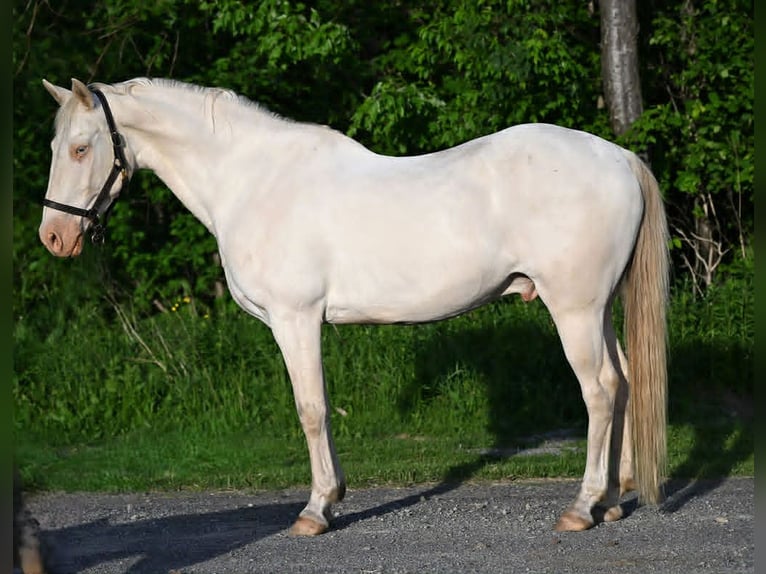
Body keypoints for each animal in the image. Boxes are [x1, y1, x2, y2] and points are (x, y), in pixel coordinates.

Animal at [38, 77, 668, 536]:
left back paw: (583, 507)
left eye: (81, 148)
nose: (55, 237)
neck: (252, 180)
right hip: (597, 309)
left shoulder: (295, 319)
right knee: (625, 381)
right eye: (54, 146)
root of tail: (618, 157)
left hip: (574, 308)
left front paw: (318, 509)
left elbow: (311, 409)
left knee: (600, 390)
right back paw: (615, 500)